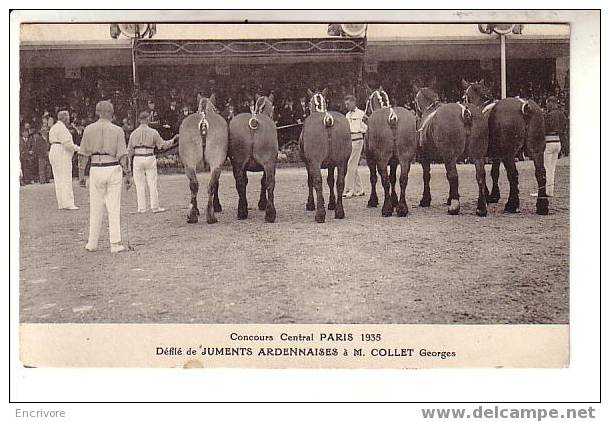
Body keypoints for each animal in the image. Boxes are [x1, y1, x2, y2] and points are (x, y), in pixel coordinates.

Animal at [180, 95, 230, 224]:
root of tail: (203, 122)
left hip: (191, 165)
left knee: (196, 185)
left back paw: (195, 215)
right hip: (212, 164)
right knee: (207, 185)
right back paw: (208, 216)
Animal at [360, 87, 418, 216]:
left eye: (367, 101)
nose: (364, 118)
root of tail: (393, 117)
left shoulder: (371, 160)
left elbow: (374, 178)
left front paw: (373, 200)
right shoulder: (394, 161)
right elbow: (393, 178)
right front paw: (394, 200)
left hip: (382, 159)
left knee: (384, 180)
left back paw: (387, 208)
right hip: (405, 158)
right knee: (403, 179)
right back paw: (402, 207)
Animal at [410, 87, 486, 216]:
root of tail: (465, 112)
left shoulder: (425, 158)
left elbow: (426, 176)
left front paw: (425, 200)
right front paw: (450, 198)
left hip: (449, 156)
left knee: (453, 175)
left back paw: (454, 207)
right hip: (477, 156)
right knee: (480, 175)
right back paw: (481, 208)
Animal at [460, 80, 548, 214]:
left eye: (464, 97)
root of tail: (525, 107)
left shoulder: (481, 155)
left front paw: (487, 195)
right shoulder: (496, 156)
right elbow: (494, 172)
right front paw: (494, 195)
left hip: (509, 155)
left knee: (513, 175)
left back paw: (512, 205)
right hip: (536, 150)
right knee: (540, 173)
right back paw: (542, 206)